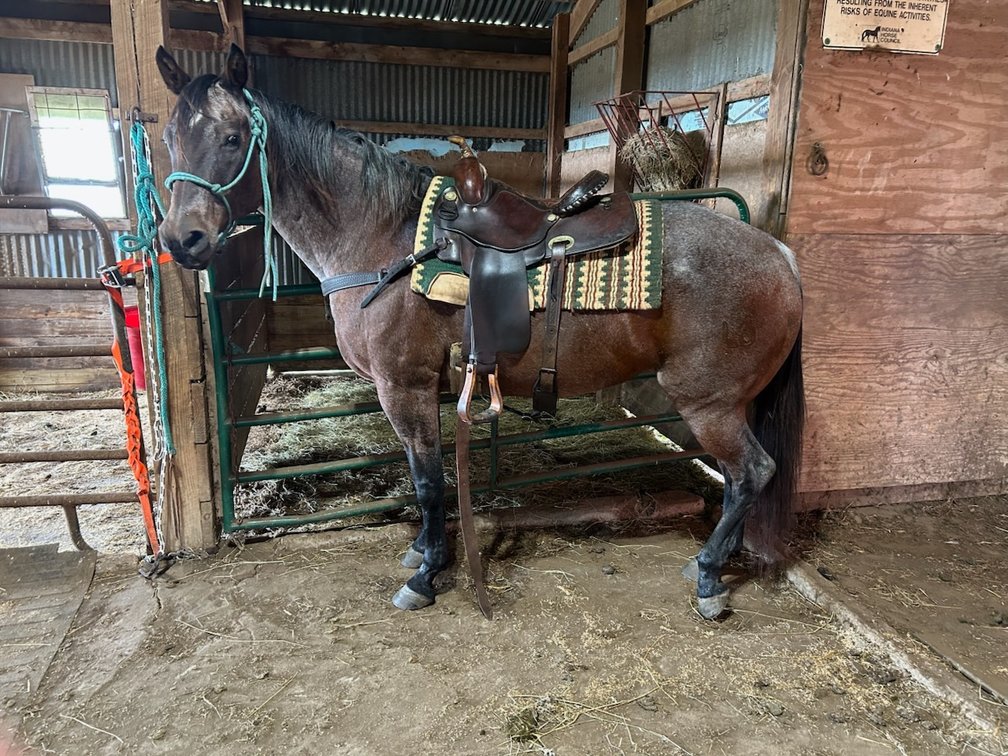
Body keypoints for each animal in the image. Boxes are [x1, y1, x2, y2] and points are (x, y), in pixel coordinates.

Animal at [154, 45, 805, 620]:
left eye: (232, 138)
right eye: (170, 139)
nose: (182, 240)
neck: (383, 241)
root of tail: (779, 255)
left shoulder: (405, 387)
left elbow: (426, 481)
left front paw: (426, 573)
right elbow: (423, 475)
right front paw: (423, 551)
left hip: (709, 403)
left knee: (752, 473)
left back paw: (709, 578)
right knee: (743, 479)